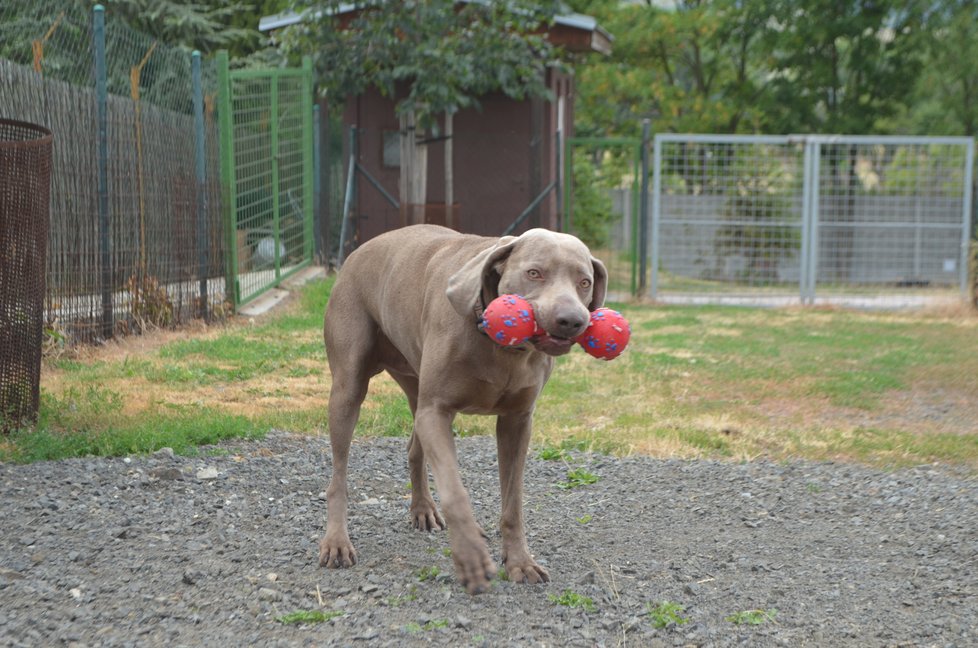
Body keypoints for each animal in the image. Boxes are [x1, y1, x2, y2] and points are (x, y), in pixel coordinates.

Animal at [318, 225, 604, 596]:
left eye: (584, 282)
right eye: (534, 273)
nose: (572, 320)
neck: (498, 347)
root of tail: (357, 251)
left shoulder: (517, 421)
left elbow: (513, 501)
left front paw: (520, 562)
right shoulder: (437, 411)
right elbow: (455, 492)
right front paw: (470, 556)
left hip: (414, 384)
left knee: (414, 449)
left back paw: (423, 509)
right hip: (349, 384)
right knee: (339, 474)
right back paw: (337, 542)